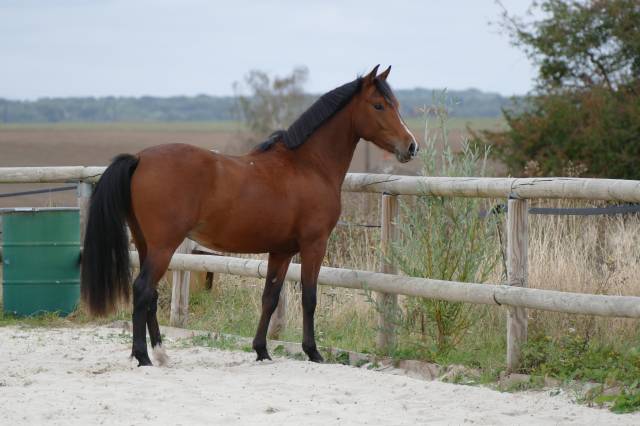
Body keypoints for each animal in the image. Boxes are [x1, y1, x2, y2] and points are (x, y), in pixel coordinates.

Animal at [81, 65, 418, 366]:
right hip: (164, 246)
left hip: (146, 244)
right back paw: (143, 356)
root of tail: (139, 158)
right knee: (142, 290)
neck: (308, 165)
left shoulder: (281, 251)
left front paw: (261, 350)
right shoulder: (314, 245)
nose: (411, 146)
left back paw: (161, 354)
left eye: (397, 105)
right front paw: (313, 352)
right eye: (378, 105)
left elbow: (270, 297)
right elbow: (309, 297)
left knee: (149, 295)